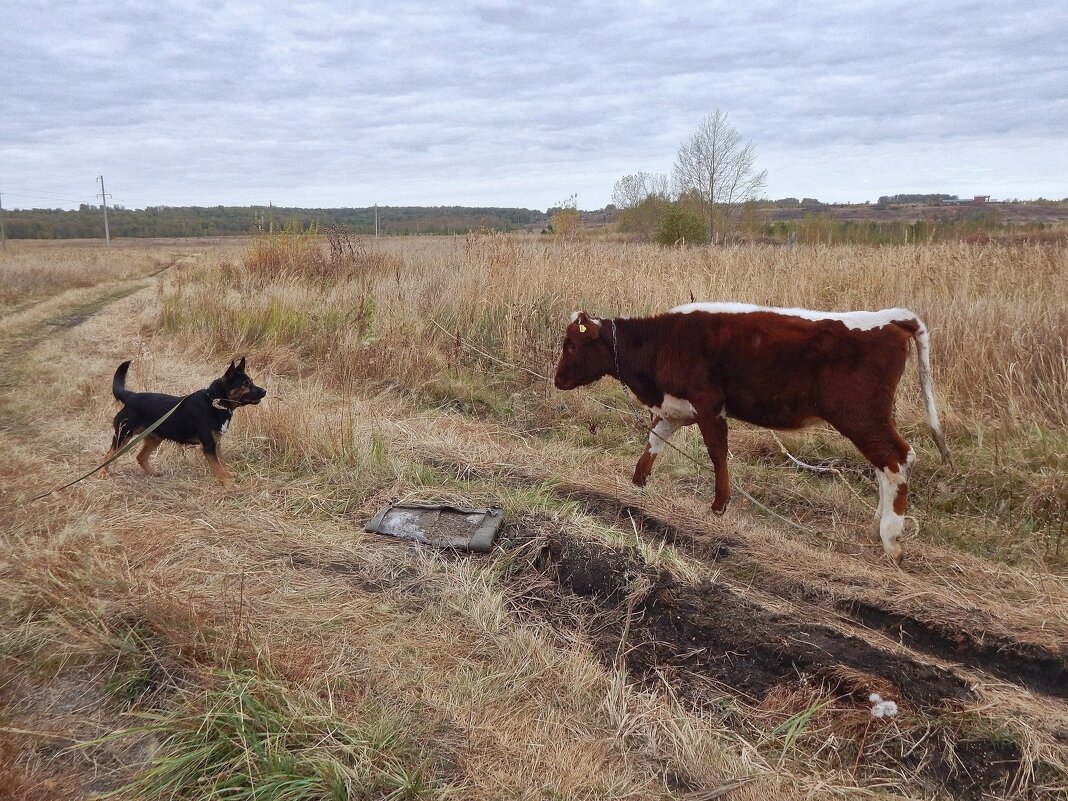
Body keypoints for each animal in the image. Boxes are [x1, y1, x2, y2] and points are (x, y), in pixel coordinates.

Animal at [101, 358, 267, 487]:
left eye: (251, 382)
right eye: (245, 384)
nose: (265, 391)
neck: (214, 403)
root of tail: (130, 396)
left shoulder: (216, 443)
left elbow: (222, 463)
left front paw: (229, 476)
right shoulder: (208, 446)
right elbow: (218, 468)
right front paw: (229, 485)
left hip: (154, 437)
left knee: (140, 457)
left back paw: (153, 473)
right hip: (123, 435)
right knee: (108, 455)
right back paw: (103, 473)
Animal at [555, 303, 948, 568]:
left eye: (571, 345)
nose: (557, 380)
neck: (664, 341)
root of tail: (892, 318)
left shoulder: (708, 405)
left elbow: (717, 452)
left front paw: (719, 506)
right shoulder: (675, 405)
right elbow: (654, 442)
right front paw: (636, 485)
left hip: (860, 417)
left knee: (895, 459)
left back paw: (891, 539)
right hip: (871, 419)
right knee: (890, 464)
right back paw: (875, 527)